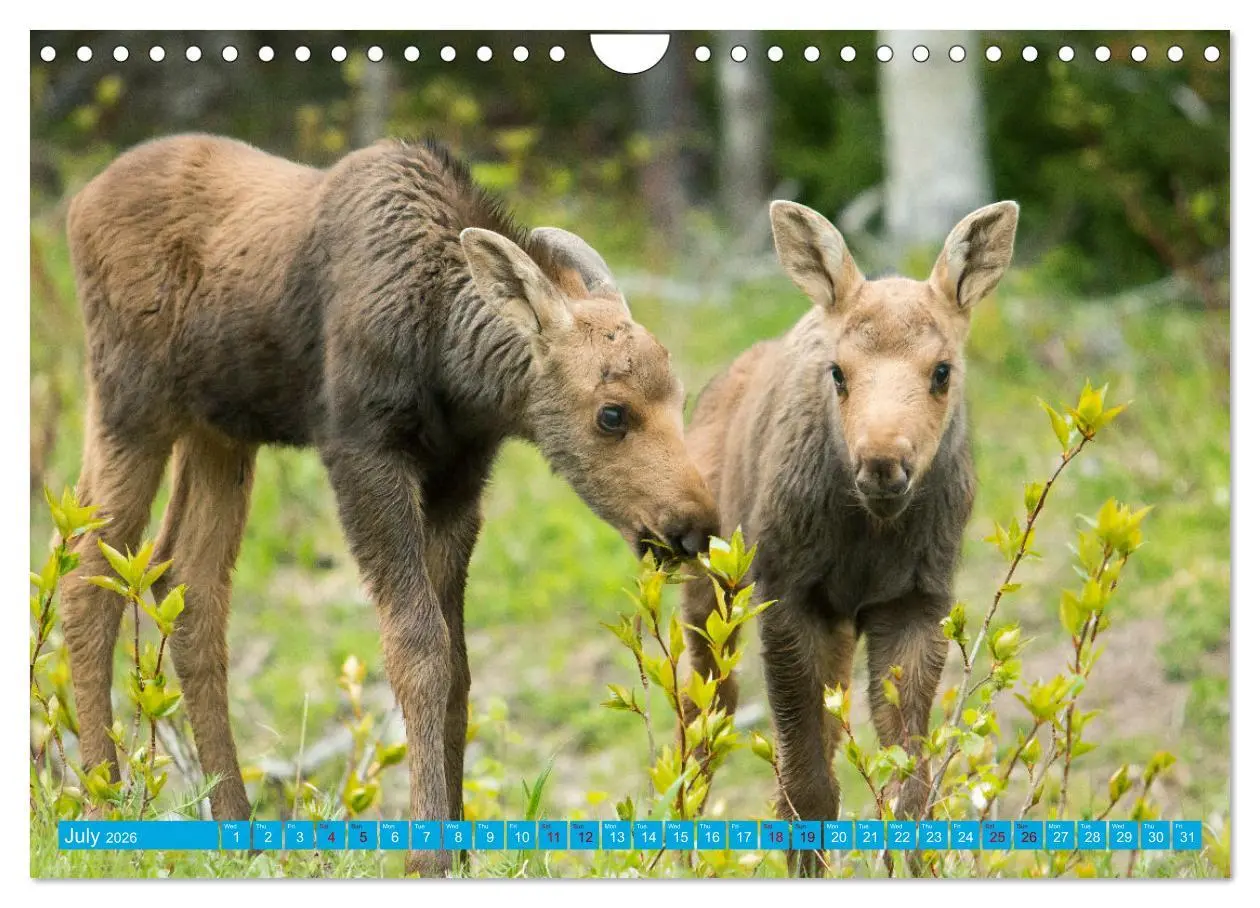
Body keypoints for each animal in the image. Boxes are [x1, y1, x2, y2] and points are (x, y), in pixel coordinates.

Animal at [59, 133, 719, 876]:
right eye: (612, 413)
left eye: (679, 395)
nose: (693, 526)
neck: (452, 362)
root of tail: (79, 204)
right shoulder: (362, 452)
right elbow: (419, 650)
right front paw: (425, 854)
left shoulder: (459, 477)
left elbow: (460, 667)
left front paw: (459, 850)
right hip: (130, 402)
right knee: (86, 576)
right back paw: (101, 805)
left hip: (219, 431)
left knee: (187, 585)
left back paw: (237, 829)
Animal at [681, 198, 1019, 875]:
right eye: (838, 373)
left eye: (942, 371)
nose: (883, 462)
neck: (870, 534)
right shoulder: (787, 593)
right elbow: (806, 789)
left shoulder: (916, 601)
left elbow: (910, 790)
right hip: (709, 592)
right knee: (703, 715)